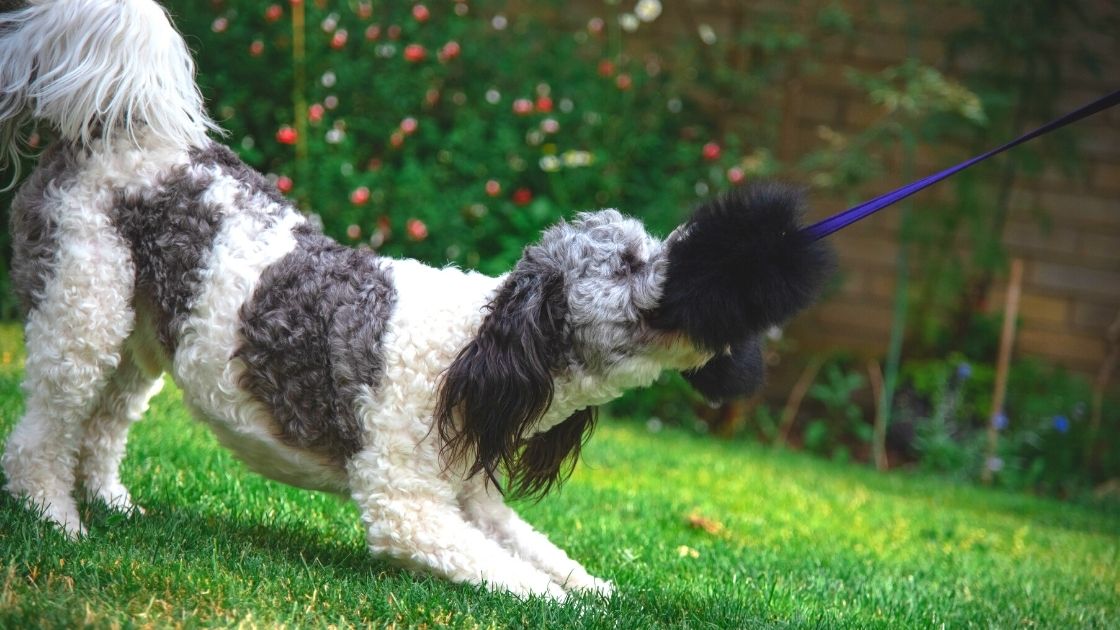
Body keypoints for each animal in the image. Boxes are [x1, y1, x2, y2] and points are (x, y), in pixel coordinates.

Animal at [0, 0, 833, 596]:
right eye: (632, 264)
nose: (734, 279)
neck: (474, 351)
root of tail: (111, 129)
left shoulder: (477, 502)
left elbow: (555, 563)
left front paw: (604, 591)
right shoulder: (413, 510)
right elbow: (530, 586)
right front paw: (574, 606)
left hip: (138, 339)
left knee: (104, 427)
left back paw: (110, 503)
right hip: (81, 315)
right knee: (41, 436)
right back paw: (57, 518)